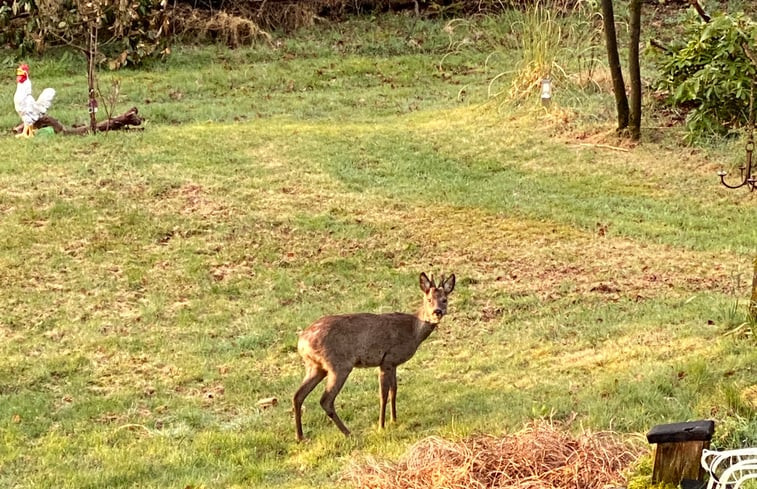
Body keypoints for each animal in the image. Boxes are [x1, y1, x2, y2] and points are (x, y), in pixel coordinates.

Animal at [292, 272, 452, 440]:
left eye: (444, 299)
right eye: (429, 299)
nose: (437, 312)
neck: (413, 331)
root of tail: (301, 343)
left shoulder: (393, 362)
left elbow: (394, 390)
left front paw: (394, 420)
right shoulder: (387, 359)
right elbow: (383, 395)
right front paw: (381, 426)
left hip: (316, 366)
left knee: (298, 395)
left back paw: (300, 436)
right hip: (339, 365)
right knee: (325, 400)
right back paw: (348, 433)